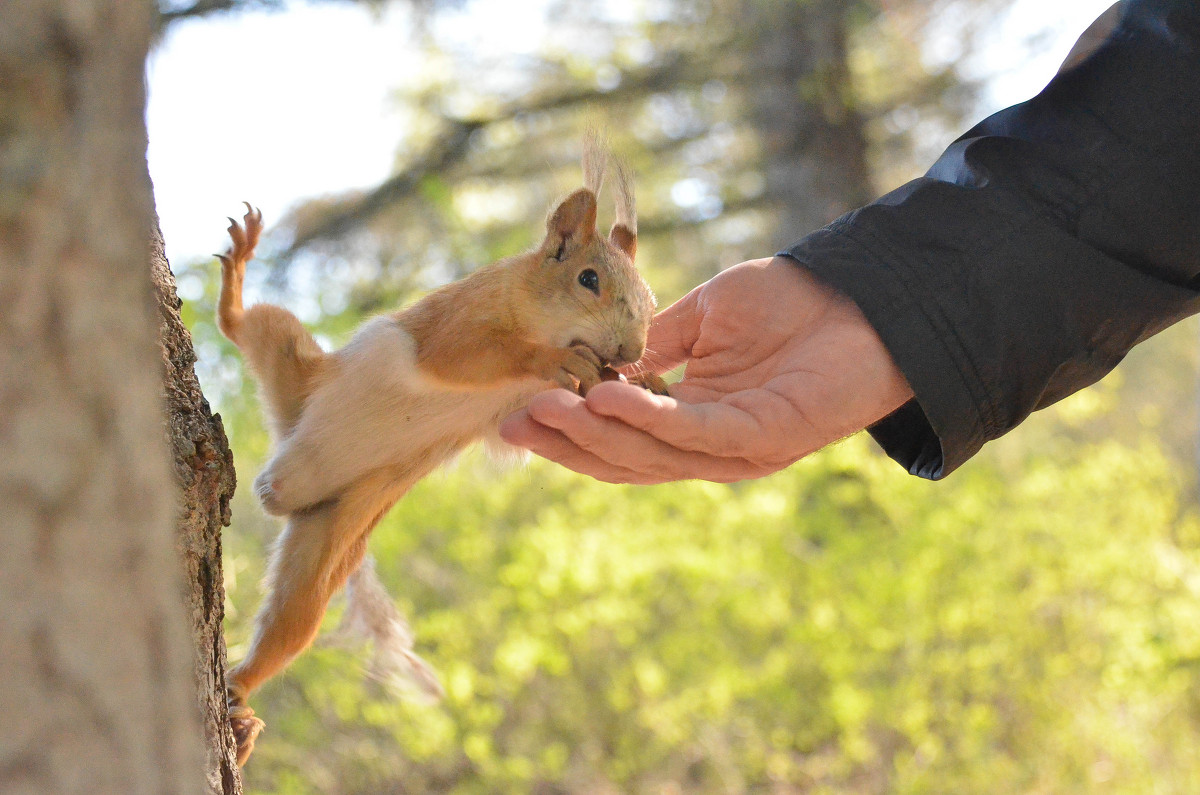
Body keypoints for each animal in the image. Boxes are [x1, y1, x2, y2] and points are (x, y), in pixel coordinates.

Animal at [216, 136, 667, 768]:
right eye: (587, 279)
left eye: (650, 296)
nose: (631, 349)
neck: (532, 307)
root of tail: (283, 462)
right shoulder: (454, 328)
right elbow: (478, 356)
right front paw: (555, 360)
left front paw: (640, 381)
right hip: (290, 357)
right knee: (240, 323)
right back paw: (238, 272)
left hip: (335, 528)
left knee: (293, 624)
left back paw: (243, 700)